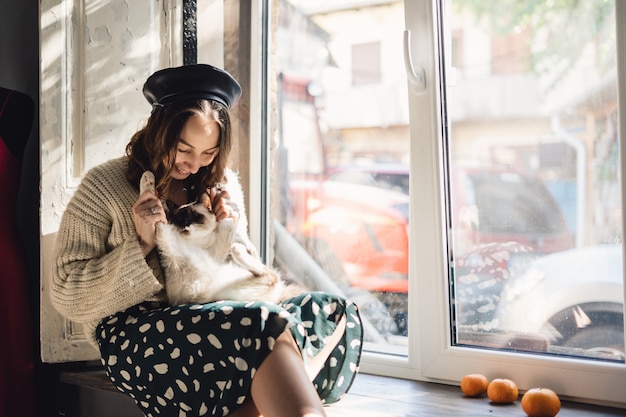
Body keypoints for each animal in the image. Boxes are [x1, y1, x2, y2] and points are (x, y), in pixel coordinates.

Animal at [140, 171, 302, 304]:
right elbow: (157, 210)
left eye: (194, 217)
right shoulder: (170, 244)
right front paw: (148, 179)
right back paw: (238, 251)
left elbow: (227, 223)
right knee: (270, 276)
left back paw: (238, 250)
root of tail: (278, 297)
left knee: (270, 275)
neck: (196, 242)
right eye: (179, 220)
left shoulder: (216, 249)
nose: (185, 224)